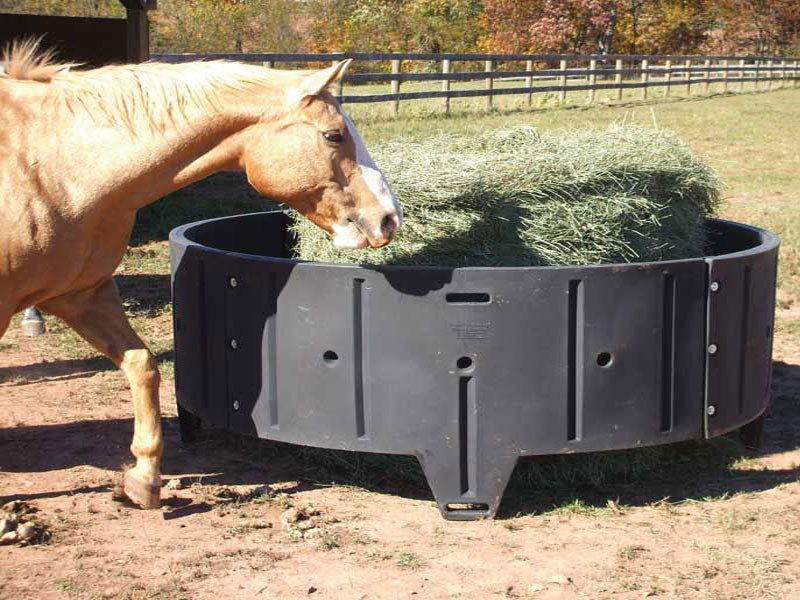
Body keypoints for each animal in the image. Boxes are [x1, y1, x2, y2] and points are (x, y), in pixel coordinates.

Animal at [0, 41, 402, 510]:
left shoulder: (82, 294)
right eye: (334, 135)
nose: (389, 218)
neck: (52, 165)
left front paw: (145, 478)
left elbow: (142, 365)